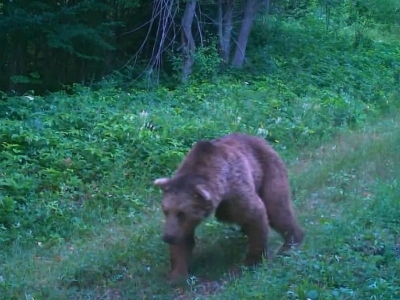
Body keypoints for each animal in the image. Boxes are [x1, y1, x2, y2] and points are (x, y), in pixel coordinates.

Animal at [155, 132, 304, 280]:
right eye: (165, 210)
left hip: (268, 170)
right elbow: (183, 238)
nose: (167, 237)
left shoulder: (236, 189)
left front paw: (251, 262)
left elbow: (255, 214)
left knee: (277, 208)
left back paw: (290, 243)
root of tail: (261, 139)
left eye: (181, 213)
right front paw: (177, 274)